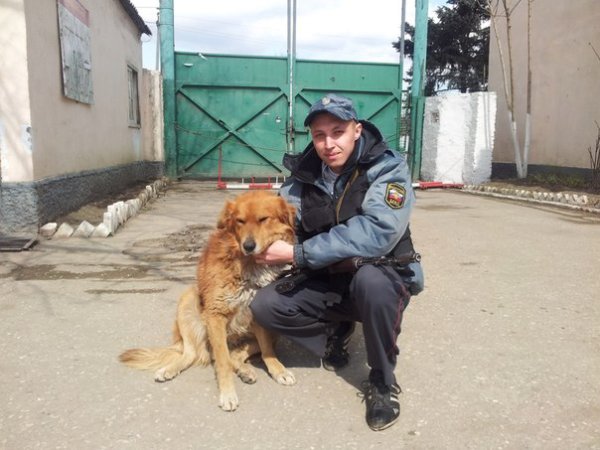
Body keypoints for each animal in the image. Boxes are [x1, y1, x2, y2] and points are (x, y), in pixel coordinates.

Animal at [119, 190, 297, 411]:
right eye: (239, 221)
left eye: (263, 219)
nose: (248, 246)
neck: (247, 264)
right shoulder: (215, 315)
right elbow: (222, 361)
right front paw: (227, 393)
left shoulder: (257, 312)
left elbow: (266, 349)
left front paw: (278, 370)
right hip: (188, 301)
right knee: (192, 354)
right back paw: (169, 369)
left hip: (273, 332)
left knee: (235, 355)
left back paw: (245, 371)